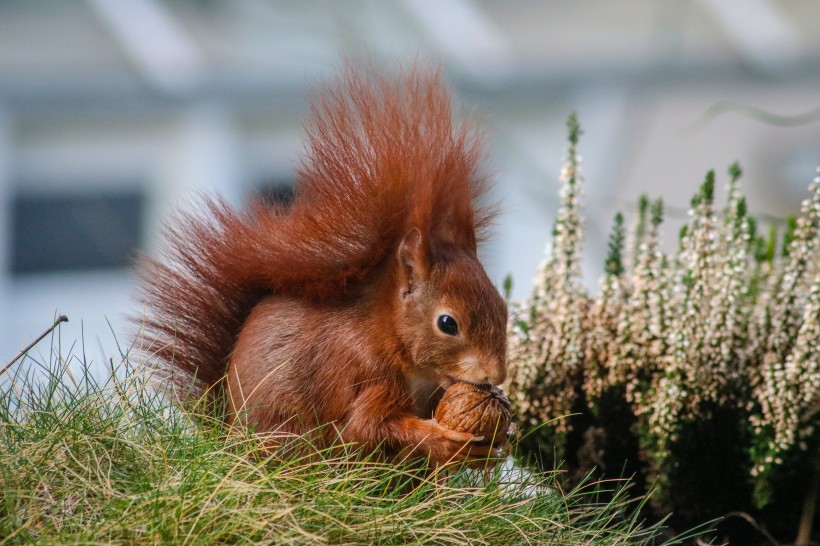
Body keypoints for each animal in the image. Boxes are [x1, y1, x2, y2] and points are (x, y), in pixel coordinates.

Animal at [138, 63, 510, 464]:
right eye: (447, 323)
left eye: (504, 309)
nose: (496, 375)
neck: (386, 335)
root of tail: (228, 438)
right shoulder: (365, 372)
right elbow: (369, 427)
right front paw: (443, 438)